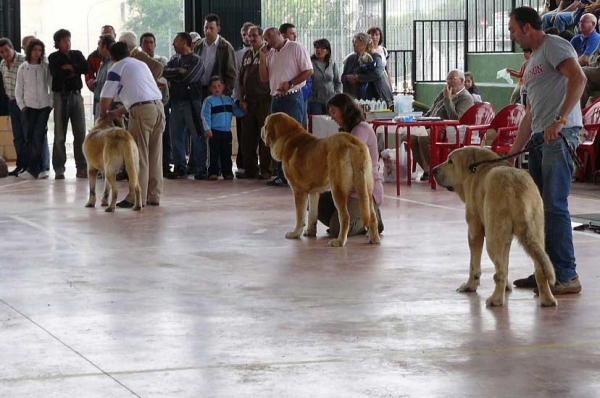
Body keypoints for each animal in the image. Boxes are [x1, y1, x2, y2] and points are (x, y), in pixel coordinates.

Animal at [262, 112, 380, 247]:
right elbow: (312, 214)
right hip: (366, 189)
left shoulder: (298, 191)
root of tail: (352, 142)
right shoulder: (313, 193)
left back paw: (339, 241)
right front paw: (310, 232)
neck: (288, 137)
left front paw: (295, 233)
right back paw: (374, 238)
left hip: (338, 189)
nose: (261, 129)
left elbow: (300, 215)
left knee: (345, 217)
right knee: (372, 215)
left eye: (265, 125)